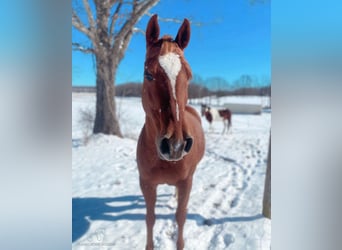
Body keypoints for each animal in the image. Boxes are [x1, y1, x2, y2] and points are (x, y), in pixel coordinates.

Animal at [137, 14, 206, 249]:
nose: (175, 145)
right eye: (148, 74)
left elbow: (181, 216)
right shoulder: (147, 183)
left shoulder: (186, 182)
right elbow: (150, 218)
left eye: (189, 75)